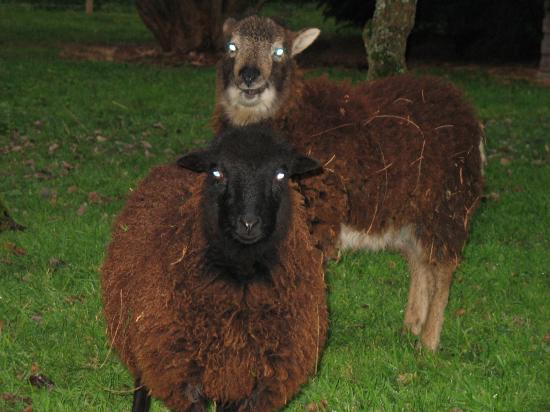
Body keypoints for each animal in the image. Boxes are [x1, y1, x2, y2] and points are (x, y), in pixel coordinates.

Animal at [102, 127, 330, 410]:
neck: (241, 278)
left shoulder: (250, 378)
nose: (248, 223)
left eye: (281, 174)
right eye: (217, 173)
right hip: (139, 335)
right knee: (141, 381)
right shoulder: (180, 370)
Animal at [213, 16, 486, 350]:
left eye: (280, 51)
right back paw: (410, 329)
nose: (249, 76)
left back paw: (429, 342)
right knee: (420, 264)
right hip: (410, 214)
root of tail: (466, 110)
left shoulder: (315, 220)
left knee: (443, 269)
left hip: (448, 206)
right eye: (231, 46)